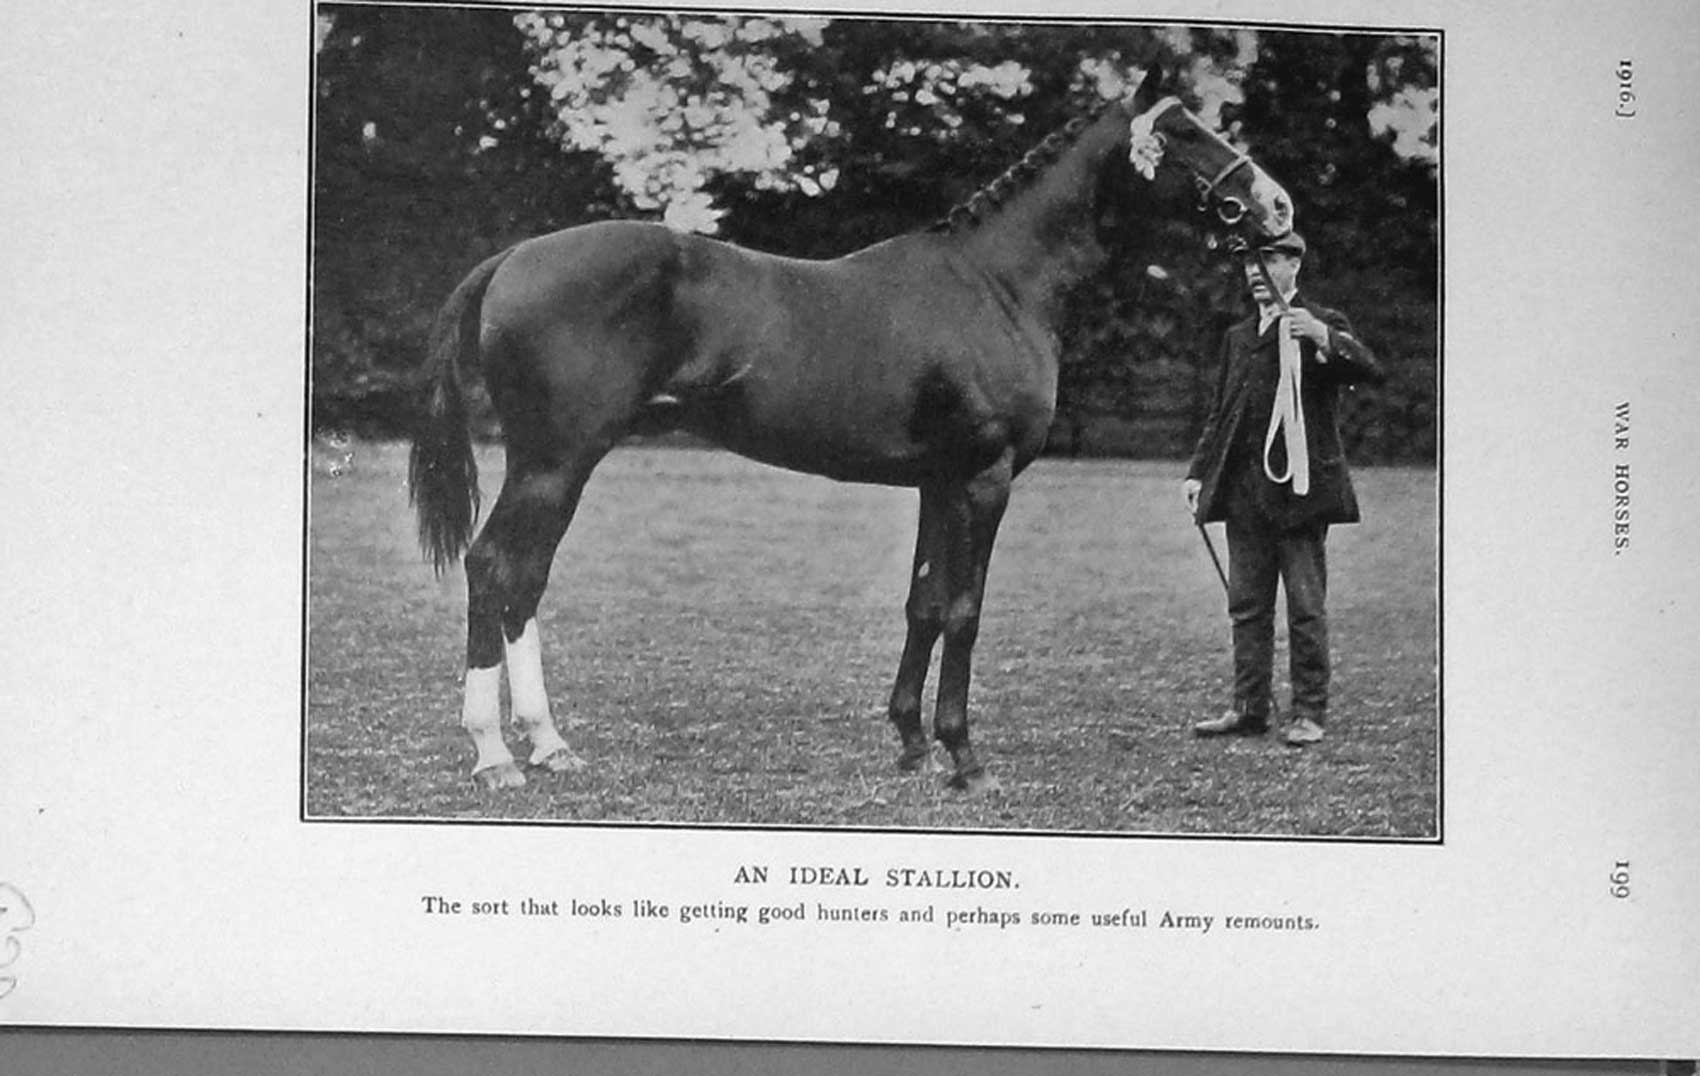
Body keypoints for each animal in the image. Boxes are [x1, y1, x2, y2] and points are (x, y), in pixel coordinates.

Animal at [408, 69, 1295, 795]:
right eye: (1186, 133)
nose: (1278, 207)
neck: (997, 284)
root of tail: (513, 258)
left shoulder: (940, 481)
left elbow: (924, 603)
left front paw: (911, 743)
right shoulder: (985, 479)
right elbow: (965, 609)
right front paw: (964, 758)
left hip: (556, 466)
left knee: (523, 581)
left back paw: (548, 745)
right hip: (554, 463)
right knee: (495, 569)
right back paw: (495, 754)